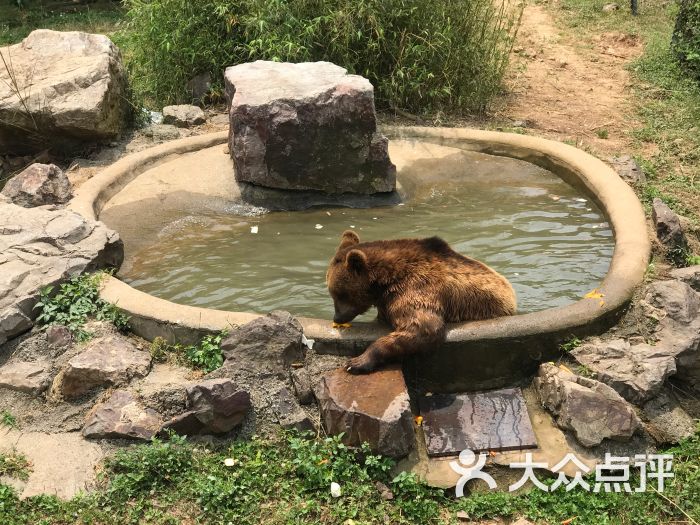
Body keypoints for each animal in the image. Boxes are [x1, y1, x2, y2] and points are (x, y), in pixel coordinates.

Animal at [326, 229, 516, 372]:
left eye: (340, 294)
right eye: (333, 292)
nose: (337, 317)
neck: (385, 282)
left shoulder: (415, 289)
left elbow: (422, 329)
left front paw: (356, 362)